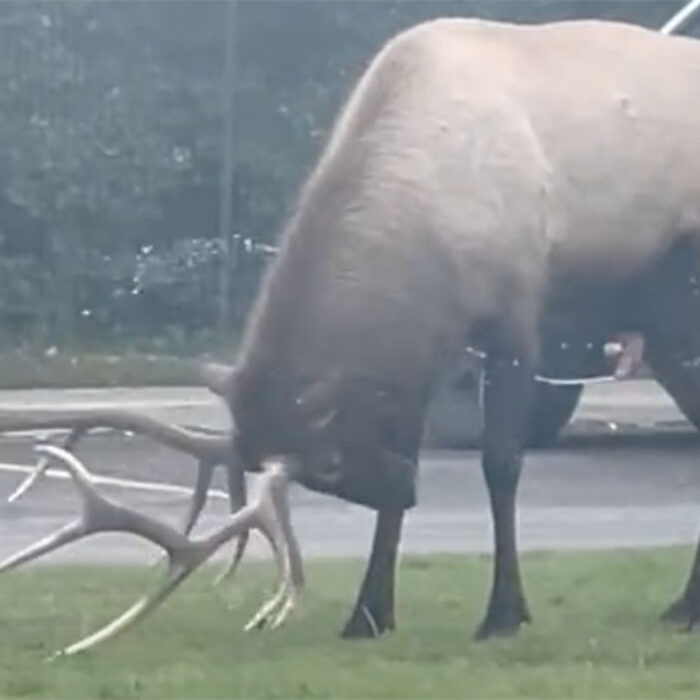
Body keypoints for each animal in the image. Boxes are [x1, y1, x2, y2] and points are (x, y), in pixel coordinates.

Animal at [2, 16, 700, 655]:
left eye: (329, 463)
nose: (410, 492)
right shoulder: (427, 349)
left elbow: (501, 462)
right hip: (669, 332)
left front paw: (504, 614)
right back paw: (680, 608)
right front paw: (368, 614)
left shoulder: (516, 311)